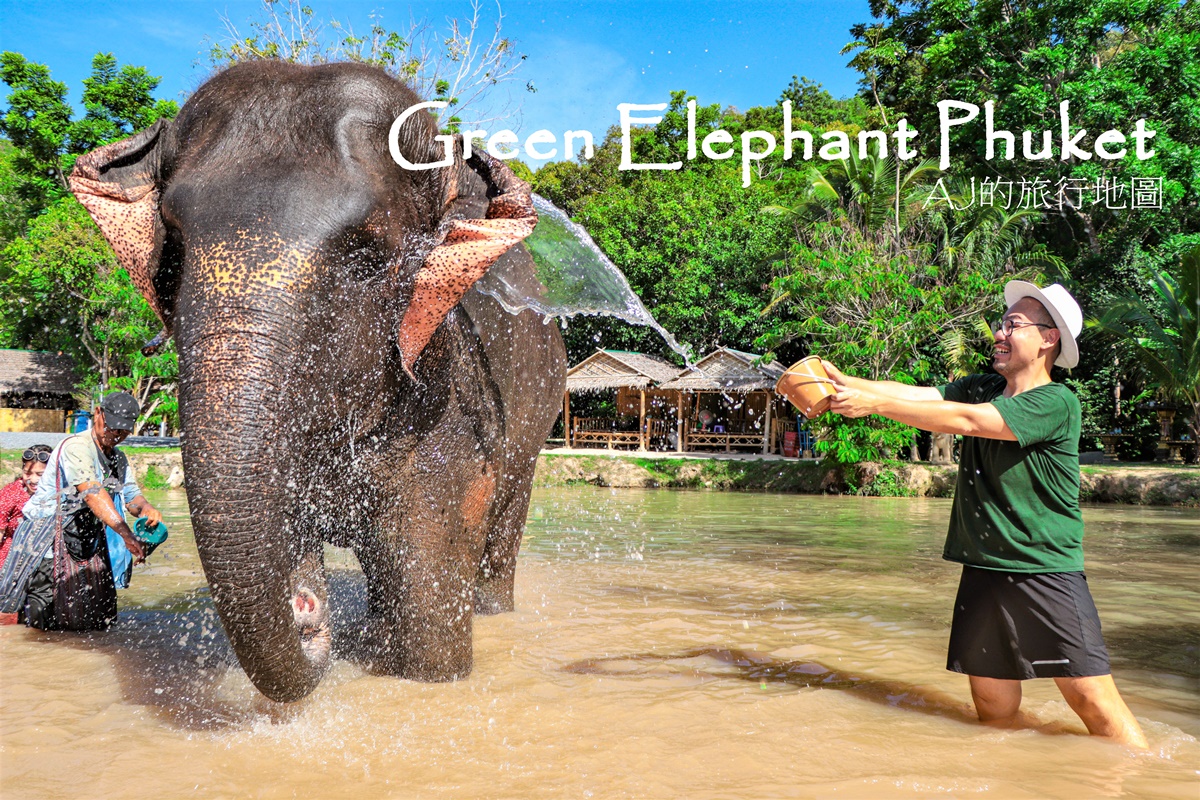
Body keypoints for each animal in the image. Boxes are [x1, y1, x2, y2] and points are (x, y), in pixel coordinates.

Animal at [70, 61, 566, 700]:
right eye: (172, 250)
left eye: (367, 257)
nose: (306, 610)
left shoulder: (449, 394)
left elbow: (429, 593)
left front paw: (430, 677)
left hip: (536, 418)